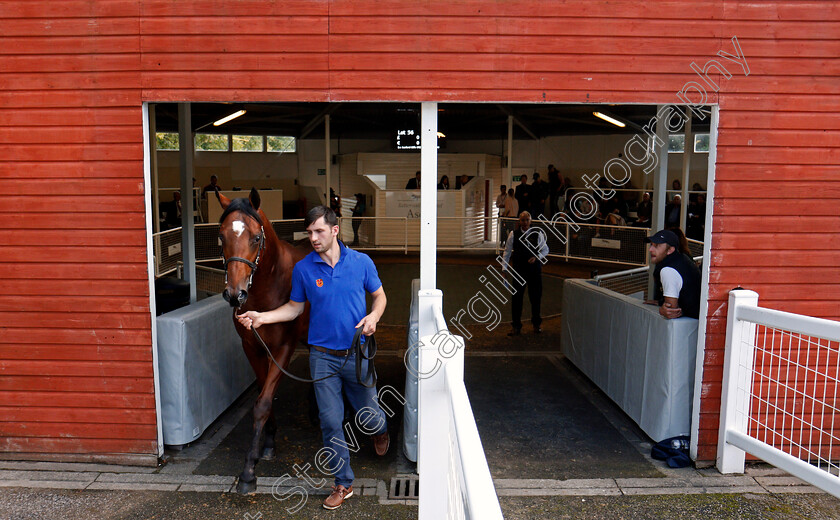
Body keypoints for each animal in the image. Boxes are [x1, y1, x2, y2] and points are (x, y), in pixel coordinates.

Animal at [217, 189, 308, 494]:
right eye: (221, 236)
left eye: (256, 238)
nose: (235, 294)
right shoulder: (253, 347)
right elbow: (262, 393)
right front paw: (266, 444)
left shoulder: (284, 348)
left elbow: (263, 403)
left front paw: (248, 471)